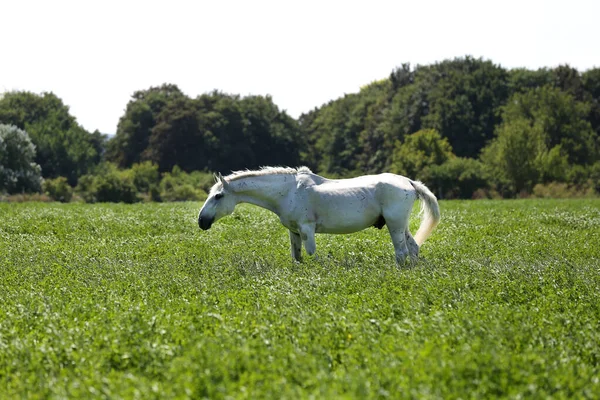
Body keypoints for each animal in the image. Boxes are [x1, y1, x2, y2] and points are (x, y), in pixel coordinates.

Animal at [199, 167, 438, 264]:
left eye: (218, 196)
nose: (202, 221)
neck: (289, 191)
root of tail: (409, 182)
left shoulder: (307, 229)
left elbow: (311, 253)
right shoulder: (294, 231)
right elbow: (297, 256)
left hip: (394, 225)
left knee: (401, 252)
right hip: (400, 225)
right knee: (413, 248)